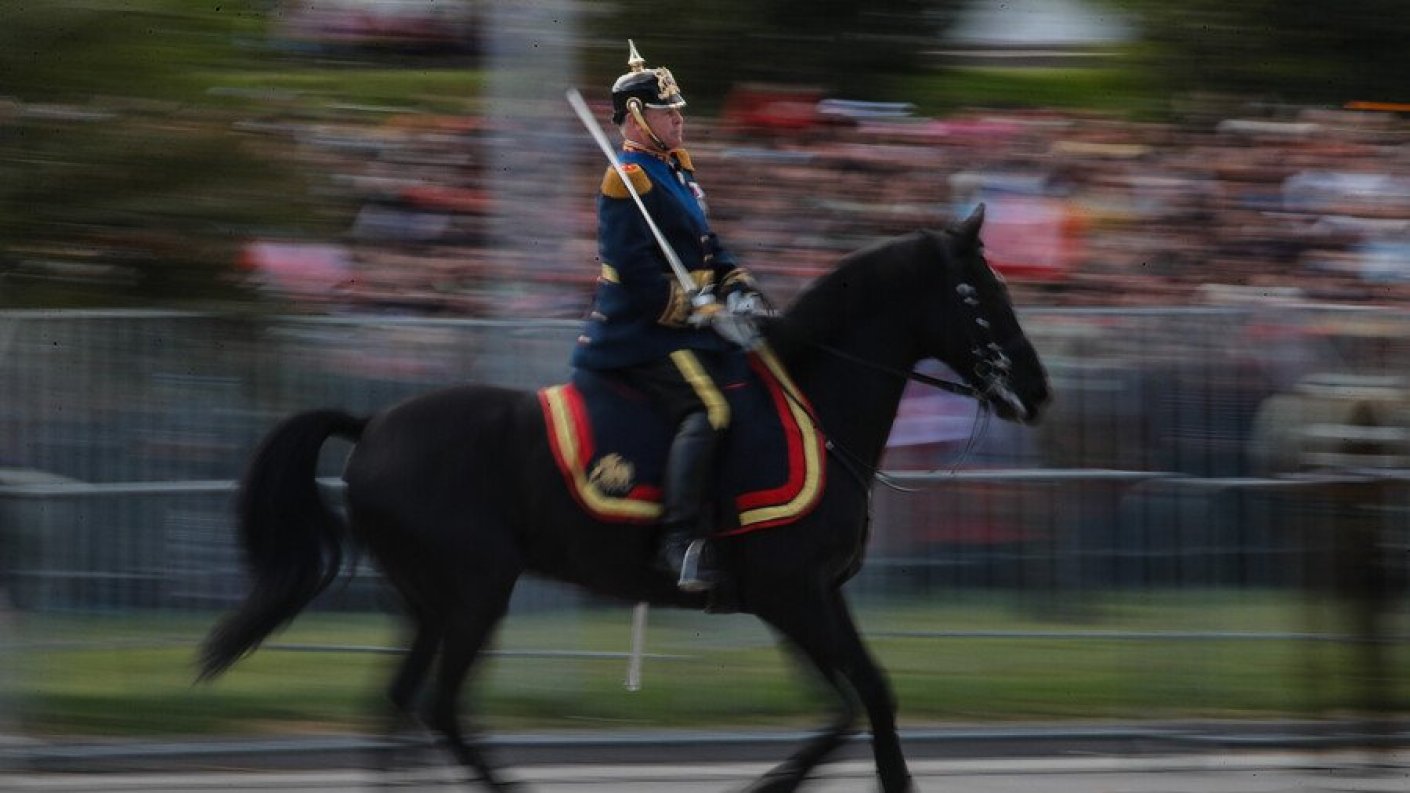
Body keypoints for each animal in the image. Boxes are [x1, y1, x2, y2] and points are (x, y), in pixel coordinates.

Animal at [204, 207, 1054, 784]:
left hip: (429, 602)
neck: (816, 402)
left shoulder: (809, 596)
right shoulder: (792, 594)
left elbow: (867, 697)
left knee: (398, 705)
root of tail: (374, 421)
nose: (1039, 390)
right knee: (439, 707)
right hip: (474, 592)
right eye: (977, 292)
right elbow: (852, 703)